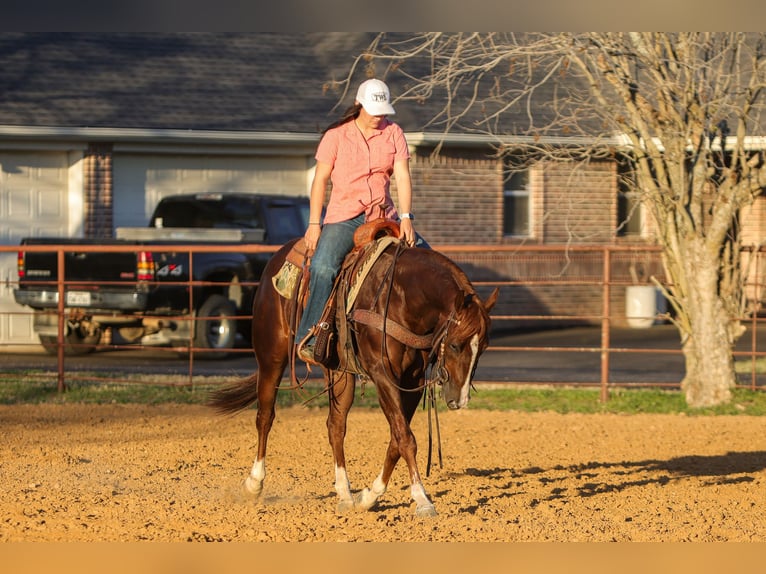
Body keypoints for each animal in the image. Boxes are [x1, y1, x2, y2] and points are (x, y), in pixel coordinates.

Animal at [208, 229, 498, 517]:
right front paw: (422, 498)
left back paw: (345, 494)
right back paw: (254, 483)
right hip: (271, 357)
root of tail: (278, 256)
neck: (402, 297)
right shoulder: (382, 374)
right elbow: (406, 437)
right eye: (455, 345)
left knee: (335, 426)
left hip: (339, 371)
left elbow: (396, 438)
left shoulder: (412, 379)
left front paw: (368, 496)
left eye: (483, 347)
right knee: (265, 416)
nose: (459, 400)